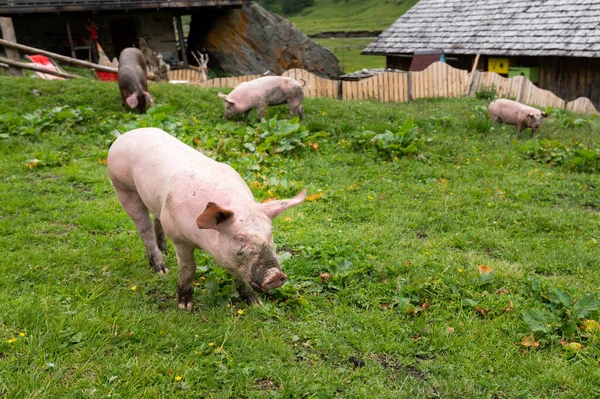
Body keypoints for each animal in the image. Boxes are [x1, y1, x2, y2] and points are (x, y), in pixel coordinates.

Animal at [106, 128, 304, 310]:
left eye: (270, 233)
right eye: (240, 238)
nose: (276, 274)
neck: (204, 241)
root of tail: (124, 135)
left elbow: (240, 275)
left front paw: (255, 304)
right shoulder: (179, 238)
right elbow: (189, 268)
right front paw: (185, 307)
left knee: (156, 218)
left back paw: (165, 251)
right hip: (123, 187)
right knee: (143, 229)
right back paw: (162, 269)